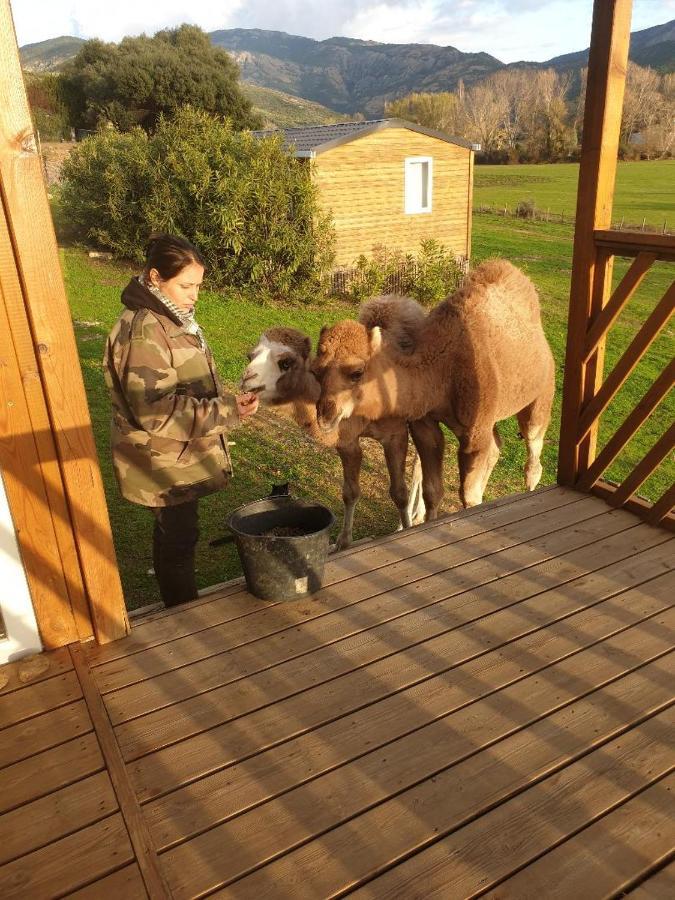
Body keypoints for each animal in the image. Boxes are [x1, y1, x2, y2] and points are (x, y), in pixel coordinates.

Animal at [240, 312, 426, 548]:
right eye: (250, 355)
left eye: (286, 362)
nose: (246, 378)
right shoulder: (346, 440)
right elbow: (350, 492)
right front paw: (343, 543)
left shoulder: (395, 433)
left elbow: (399, 492)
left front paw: (406, 529)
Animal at [312, 256, 556, 516]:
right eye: (316, 370)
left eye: (357, 372)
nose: (325, 415)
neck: (441, 370)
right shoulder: (425, 425)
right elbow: (433, 492)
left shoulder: (475, 434)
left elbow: (469, 496)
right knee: (497, 448)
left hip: (541, 395)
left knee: (533, 455)